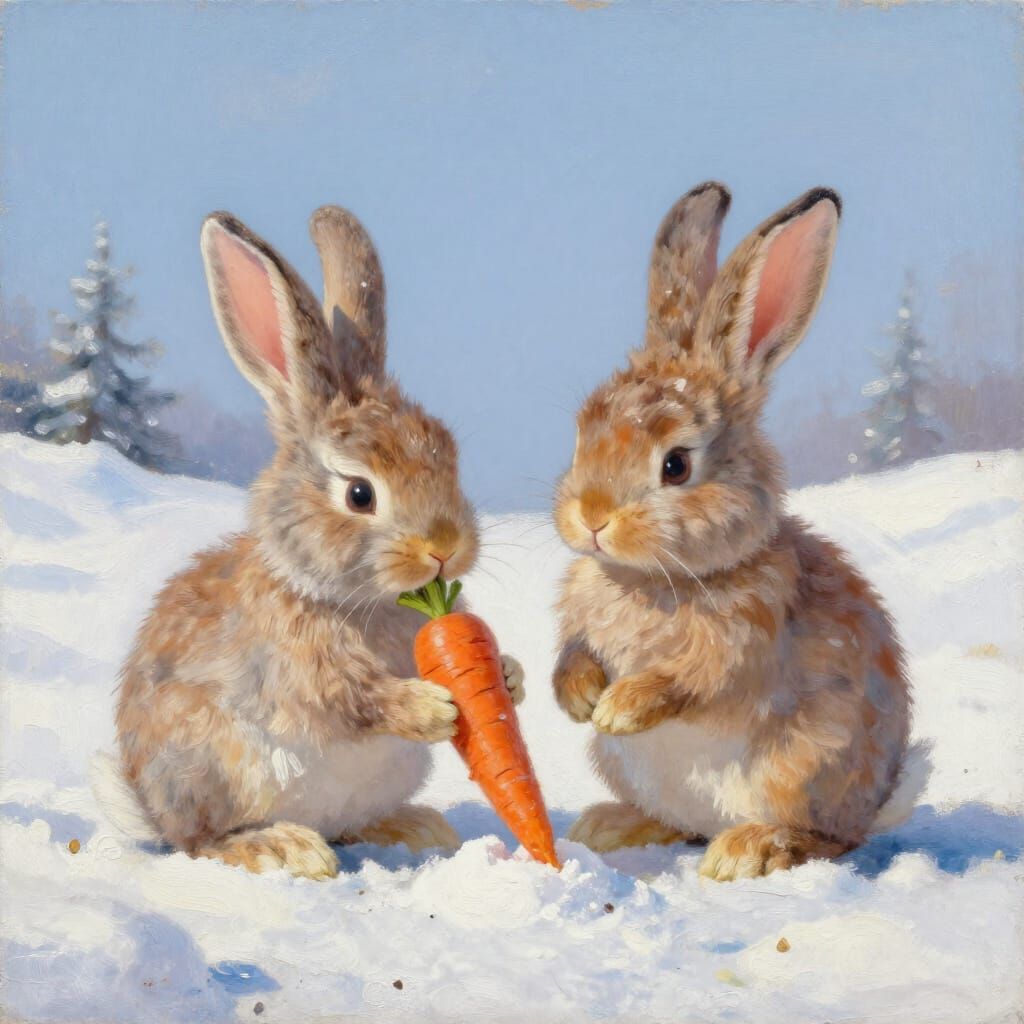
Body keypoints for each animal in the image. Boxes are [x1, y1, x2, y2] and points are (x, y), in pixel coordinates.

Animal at [108, 206, 525, 879]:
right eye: (359, 494)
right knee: (202, 842)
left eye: (448, 453)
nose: (444, 546)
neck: (365, 603)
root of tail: (147, 804)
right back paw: (284, 847)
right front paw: (434, 708)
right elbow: (353, 699)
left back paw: (412, 827)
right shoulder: (301, 671)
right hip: (212, 766)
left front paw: (509, 677)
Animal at [552, 182, 929, 881]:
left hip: (803, 766)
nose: (591, 517)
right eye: (582, 434)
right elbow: (572, 655)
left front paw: (618, 706)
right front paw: (582, 699)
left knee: (829, 840)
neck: (655, 580)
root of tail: (881, 799)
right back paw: (612, 824)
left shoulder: (738, 646)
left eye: (676, 464)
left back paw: (747, 850)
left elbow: (687, 681)